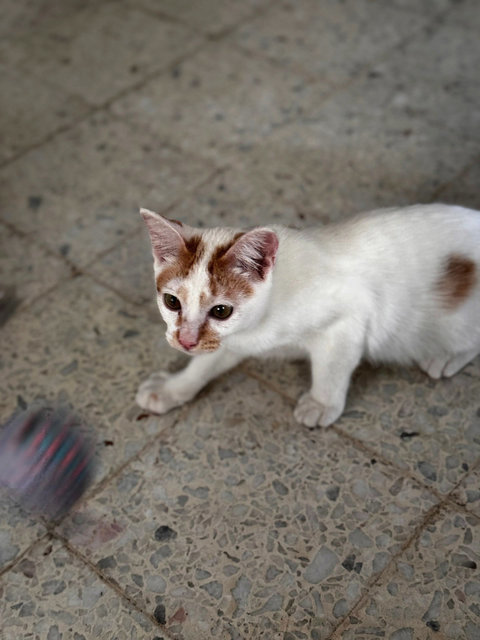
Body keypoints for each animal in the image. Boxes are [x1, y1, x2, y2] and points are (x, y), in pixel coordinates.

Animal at [135, 202, 480, 428]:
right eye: (172, 302)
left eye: (221, 310)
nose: (185, 341)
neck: (261, 322)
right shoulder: (231, 339)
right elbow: (206, 362)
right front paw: (172, 388)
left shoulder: (351, 313)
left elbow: (333, 366)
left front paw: (322, 403)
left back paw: (447, 356)